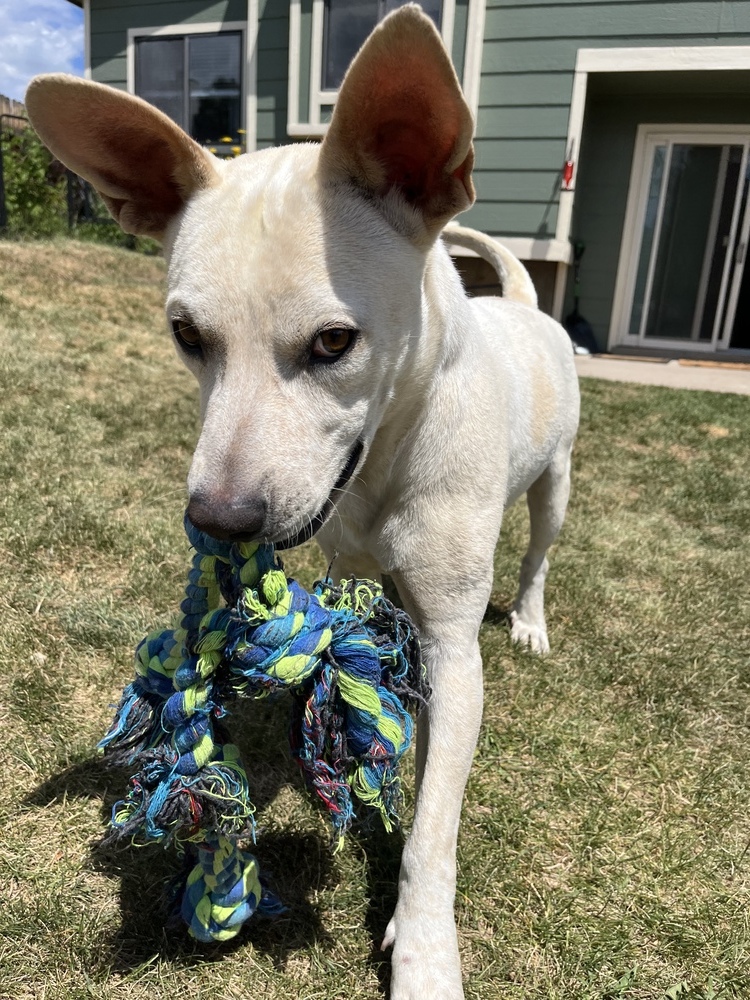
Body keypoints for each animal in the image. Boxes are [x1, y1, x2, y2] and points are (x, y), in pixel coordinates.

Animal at [26, 5, 580, 992]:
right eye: (185, 333)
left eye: (333, 342)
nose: (218, 519)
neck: (389, 459)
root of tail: (521, 302)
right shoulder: (349, 566)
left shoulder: (452, 651)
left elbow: (434, 826)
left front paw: (425, 951)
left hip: (554, 485)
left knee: (541, 552)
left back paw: (531, 619)